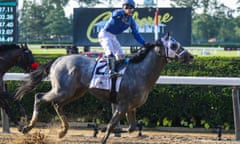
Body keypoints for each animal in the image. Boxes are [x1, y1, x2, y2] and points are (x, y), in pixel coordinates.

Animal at [15, 35, 194, 144]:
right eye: (174, 45)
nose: (190, 56)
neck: (139, 72)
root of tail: (58, 59)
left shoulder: (131, 107)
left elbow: (131, 127)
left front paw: (101, 128)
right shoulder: (122, 105)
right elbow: (111, 126)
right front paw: (103, 132)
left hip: (75, 92)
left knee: (57, 105)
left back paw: (63, 131)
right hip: (62, 90)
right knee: (39, 97)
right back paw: (27, 127)